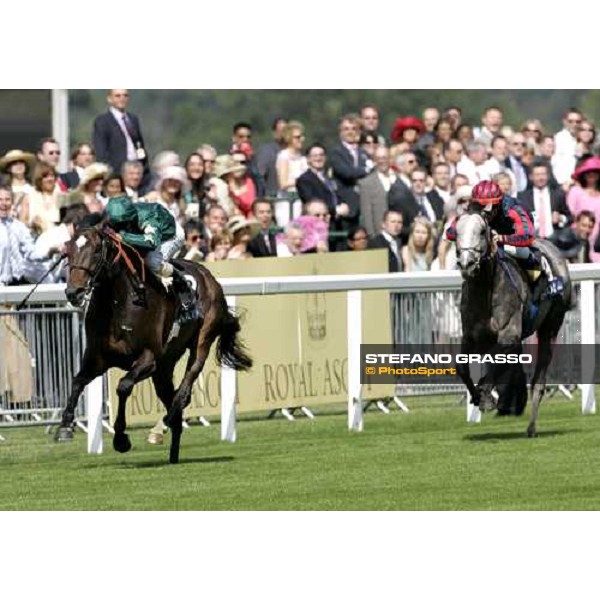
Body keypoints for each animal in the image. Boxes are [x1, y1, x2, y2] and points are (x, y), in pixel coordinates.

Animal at [57, 225, 252, 464]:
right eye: (68, 250)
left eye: (95, 251)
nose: (73, 292)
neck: (120, 303)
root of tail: (210, 278)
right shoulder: (98, 358)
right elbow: (77, 381)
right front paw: (65, 426)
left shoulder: (148, 358)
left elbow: (123, 386)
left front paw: (121, 438)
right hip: (165, 366)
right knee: (173, 400)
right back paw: (172, 452)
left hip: (200, 342)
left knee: (183, 393)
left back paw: (160, 428)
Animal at [454, 209, 572, 438]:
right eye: (456, 232)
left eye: (481, 232)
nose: (466, 264)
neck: (485, 291)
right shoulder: (471, 336)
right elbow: (462, 367)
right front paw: (478, 395)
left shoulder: (509, 333)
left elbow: (495, 360)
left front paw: (486, 396)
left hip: (550, 327)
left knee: (538, 381)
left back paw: (531, 427)